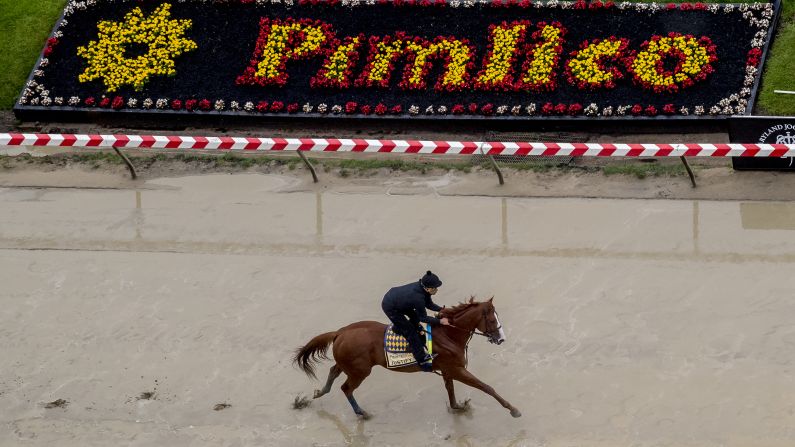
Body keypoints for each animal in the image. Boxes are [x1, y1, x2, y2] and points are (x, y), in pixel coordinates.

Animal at [294, 298, 524, 420]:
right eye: (492, 320)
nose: (501, 338)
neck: (448, 334)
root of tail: (340, 332)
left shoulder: (448, 370)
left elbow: (450, 391)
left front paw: (458, 406)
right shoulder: (457, 369)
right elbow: (486, 387)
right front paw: (513, 409)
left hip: (349, 364)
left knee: (333, 371)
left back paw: (319, 392)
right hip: (360, 370)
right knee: (346, 388)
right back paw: (362, 413)